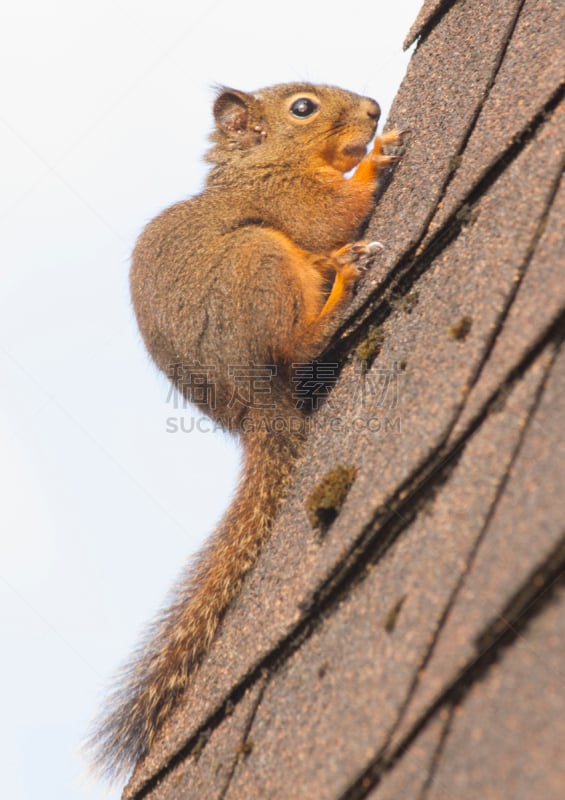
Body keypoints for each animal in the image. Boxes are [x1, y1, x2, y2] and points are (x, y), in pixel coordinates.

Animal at [90, 83, 404, 780]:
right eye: (303, 108)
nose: (373, 108)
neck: (264, 163)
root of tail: (252, 405)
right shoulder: (284, 199)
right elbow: (329, 215)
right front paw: (378, 157)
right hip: (258, 262)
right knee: (299, 341)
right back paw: (340, 291)